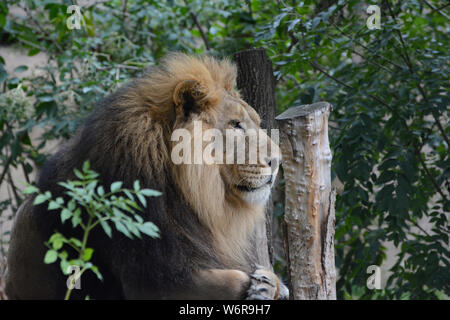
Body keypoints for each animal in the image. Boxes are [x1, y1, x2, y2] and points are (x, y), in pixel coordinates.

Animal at [5, 53, 288, 300]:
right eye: (235, 125)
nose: (277, 161)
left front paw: (273, 284)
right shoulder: (152, 277)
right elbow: (234, 279)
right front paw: (262, 286)